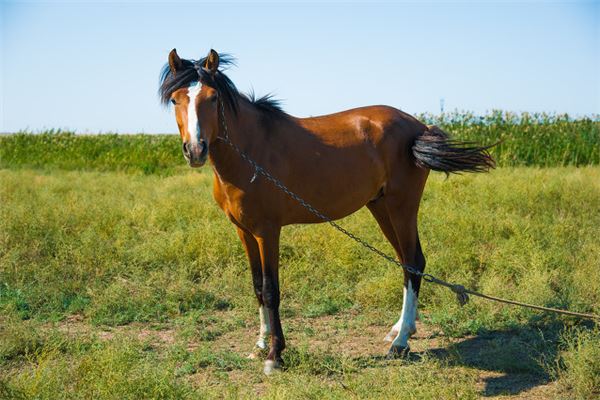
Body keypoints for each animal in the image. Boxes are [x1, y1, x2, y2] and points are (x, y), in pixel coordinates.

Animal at [157, 49, 494, 376]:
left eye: (213, 98)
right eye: (175, 99)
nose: (195, 150)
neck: (251, 152)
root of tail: (418, 126)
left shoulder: (268, 231)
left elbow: (271, 289)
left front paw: (275, 355)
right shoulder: (244, 231)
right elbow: (256, 287)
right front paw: (259, 345)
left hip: (402, 207)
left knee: (412, 264)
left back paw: (400, 343)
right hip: (382, 208)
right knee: (408, 262)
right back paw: (400, 330)